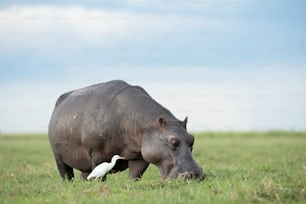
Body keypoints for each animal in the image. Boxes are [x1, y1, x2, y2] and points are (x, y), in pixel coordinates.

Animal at [49, 80, 204, 181]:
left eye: (192, 139)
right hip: (58, 156)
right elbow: (101, 174)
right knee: (66, 173)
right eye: (173, 141)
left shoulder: (140, 155)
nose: (196, 175)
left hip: (84, 164)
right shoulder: (98, 152)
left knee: (85, 174)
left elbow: (135, 175)